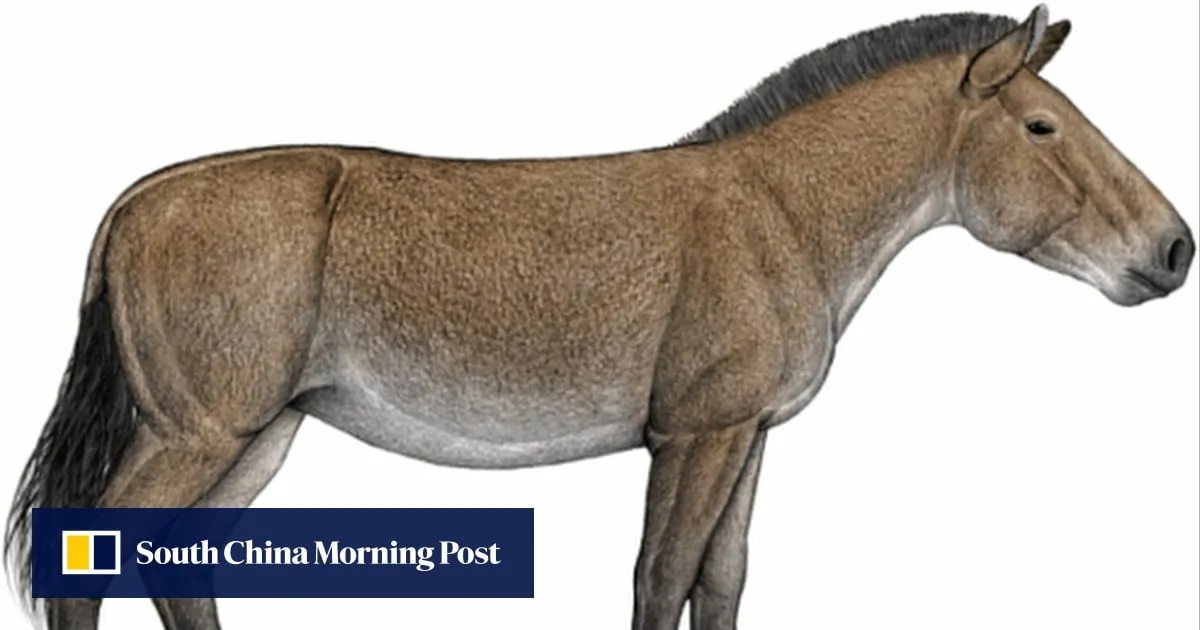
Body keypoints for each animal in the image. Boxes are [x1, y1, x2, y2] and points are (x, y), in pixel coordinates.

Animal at [4, 4, 1194, 629]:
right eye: (1042, 126)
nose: (1174, 250)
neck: (777, 210)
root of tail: (133, 203)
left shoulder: (745, 437)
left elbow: (721, 581)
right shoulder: (693, 436)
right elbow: (659, 578)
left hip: (254, 437)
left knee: (176, 563)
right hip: (200, 434)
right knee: (96, 550)